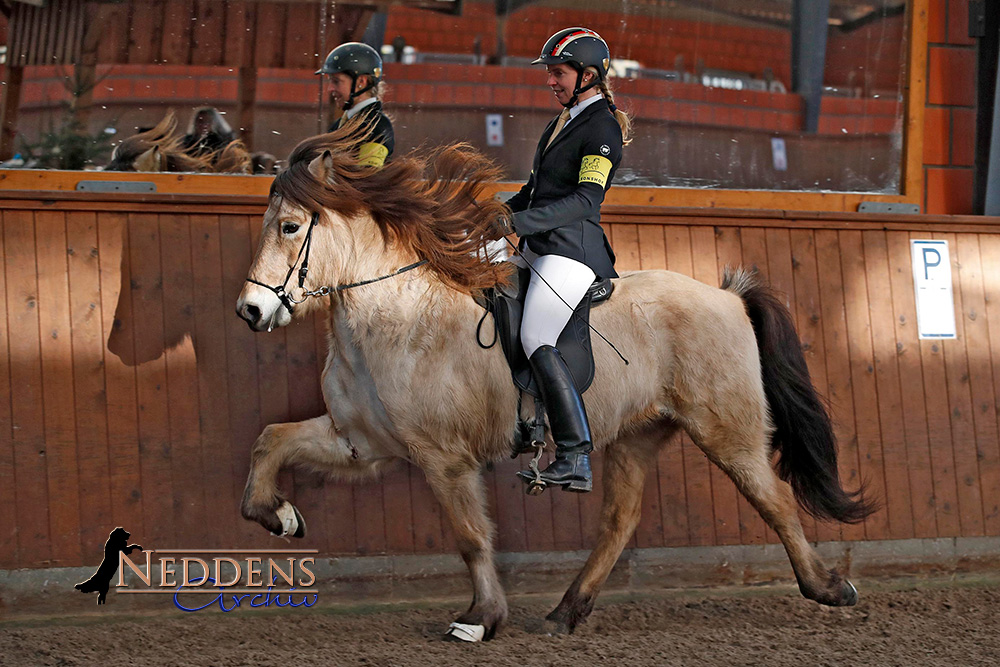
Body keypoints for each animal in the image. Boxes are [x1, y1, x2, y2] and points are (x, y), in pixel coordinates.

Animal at [236, 126, 876, 640]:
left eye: (289, 227)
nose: (250, 311)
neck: (396, 315)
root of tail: (728, 296)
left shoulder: (444, 458)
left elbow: (471, 536)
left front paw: (481, 619)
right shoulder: (360, 442)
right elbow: (271, 438)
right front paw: (276, 514)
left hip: (727, 430)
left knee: (774, 501)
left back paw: (828, 588)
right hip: (637, 435)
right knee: (619, 523)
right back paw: (567, 611)